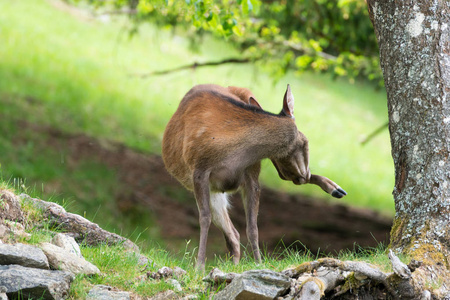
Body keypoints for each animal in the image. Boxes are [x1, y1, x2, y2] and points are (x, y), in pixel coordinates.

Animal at [163, 83, 348, 270]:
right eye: (306, 142)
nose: (301, 176)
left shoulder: (252, 174)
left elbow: (253, 226)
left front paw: (259, 263)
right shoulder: (199, 170)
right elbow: (204, 218)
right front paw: (199, 266)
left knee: (235, 233)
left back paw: (336, 189)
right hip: (213, 189)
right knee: (231, 233)